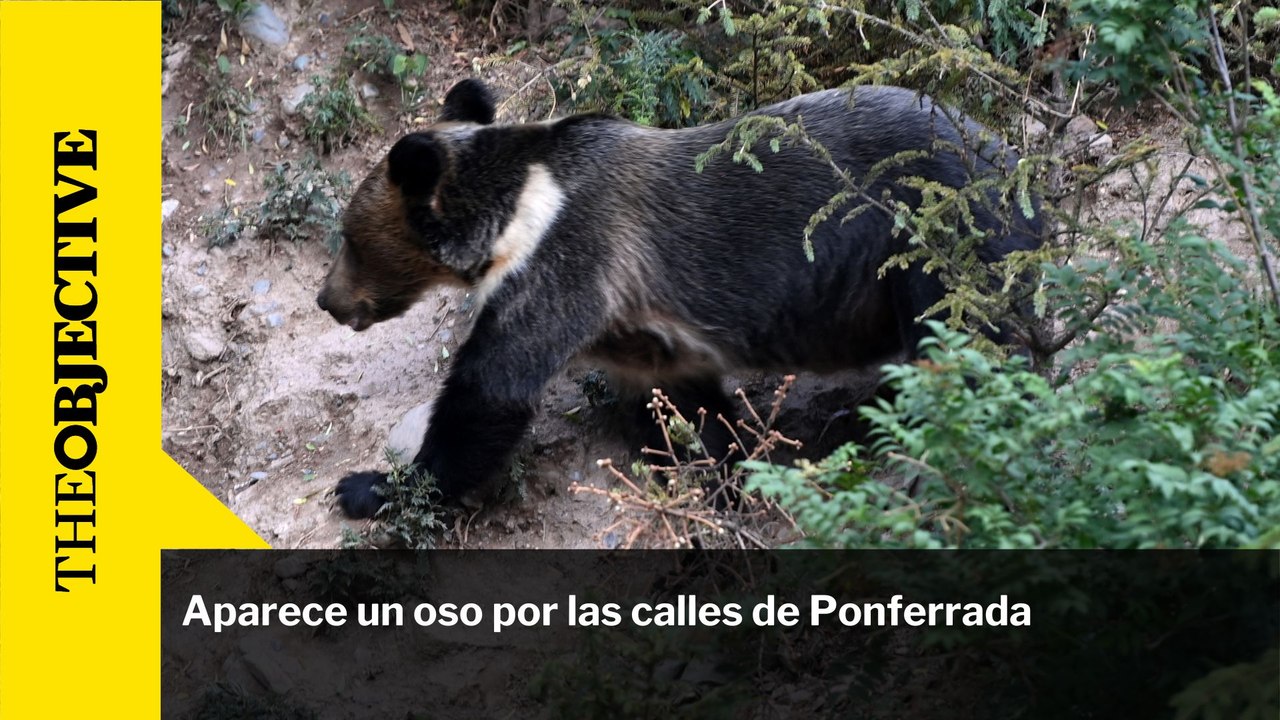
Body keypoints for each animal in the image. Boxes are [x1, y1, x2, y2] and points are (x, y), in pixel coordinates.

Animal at [317, 78, 1041, 518]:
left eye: (349, 237)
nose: (328, 299)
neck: (516, 212)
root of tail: (1011, 155)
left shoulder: (567, 260)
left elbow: (490, 392)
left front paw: (371, 485)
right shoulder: (636, 327)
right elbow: (684, 403)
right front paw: (723, 472)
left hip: (934, 226)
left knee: (964, 335)